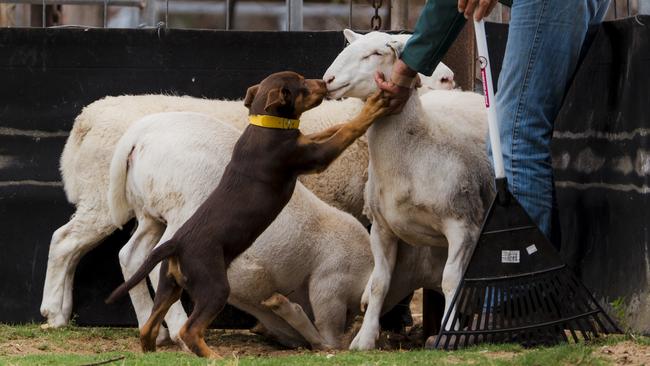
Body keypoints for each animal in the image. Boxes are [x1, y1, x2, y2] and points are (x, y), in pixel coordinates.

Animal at [107, 71, 388, 358]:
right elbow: (347, 130)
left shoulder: (306, 142)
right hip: (210, 279)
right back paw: (211, 355)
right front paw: (374, 107)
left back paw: (153, 344)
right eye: (302, 84)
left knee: (137, 275)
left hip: (156, 239)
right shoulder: (313, 156)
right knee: (190, 328)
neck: (266, 126)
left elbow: (329, 130)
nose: (325, 82)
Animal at [109, 112, 446, 348]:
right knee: (159, 261)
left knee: (131, 254)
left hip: (150, 213)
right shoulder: (329, 288)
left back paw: (153, 330)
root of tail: (139, 135)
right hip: (181, 212)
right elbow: (328, 338)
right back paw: (176, 329)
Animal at [324, 30, 492, 350]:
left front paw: (448, 334)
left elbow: (451, 280)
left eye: (376, 53)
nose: (328, 79)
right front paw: (365, 338)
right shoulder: (381, 228)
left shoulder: (463, 224)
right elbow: (380, 283)